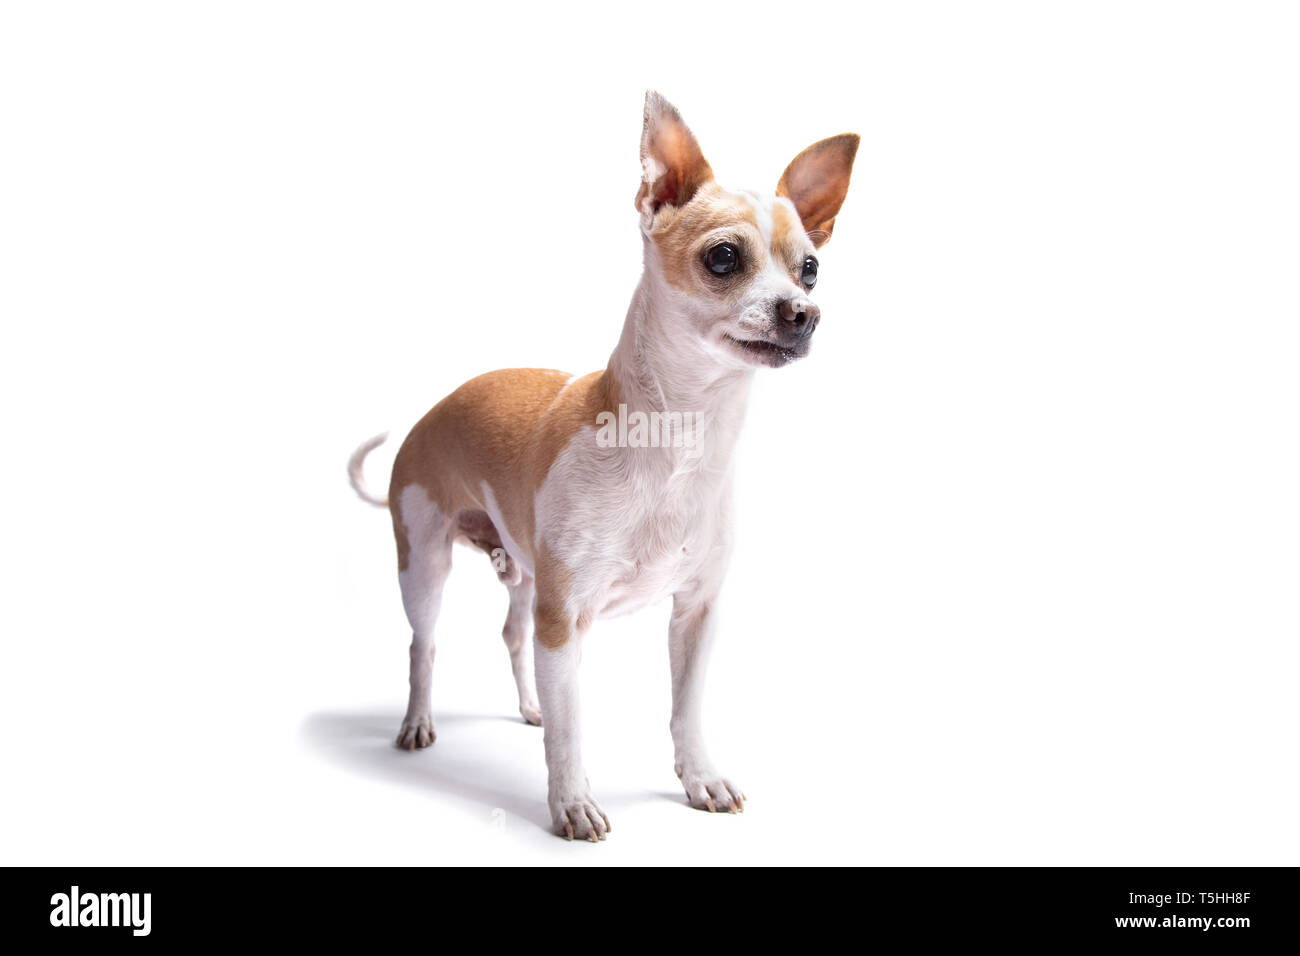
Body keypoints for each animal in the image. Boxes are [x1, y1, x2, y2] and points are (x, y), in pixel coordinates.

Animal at [348, 89, 852, 837]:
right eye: (724, 258)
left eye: (810, 268)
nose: (803, 313)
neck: (680, 439)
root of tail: (429, 413)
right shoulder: (566, 624)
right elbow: (572, 727)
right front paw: (572, 804)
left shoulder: (694, 613)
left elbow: (684, 710)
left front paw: (699, 778)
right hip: (425, 567)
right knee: (423, 646)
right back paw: (416, 724)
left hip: (525, 575)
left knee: (512, 632)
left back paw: (527, 705)